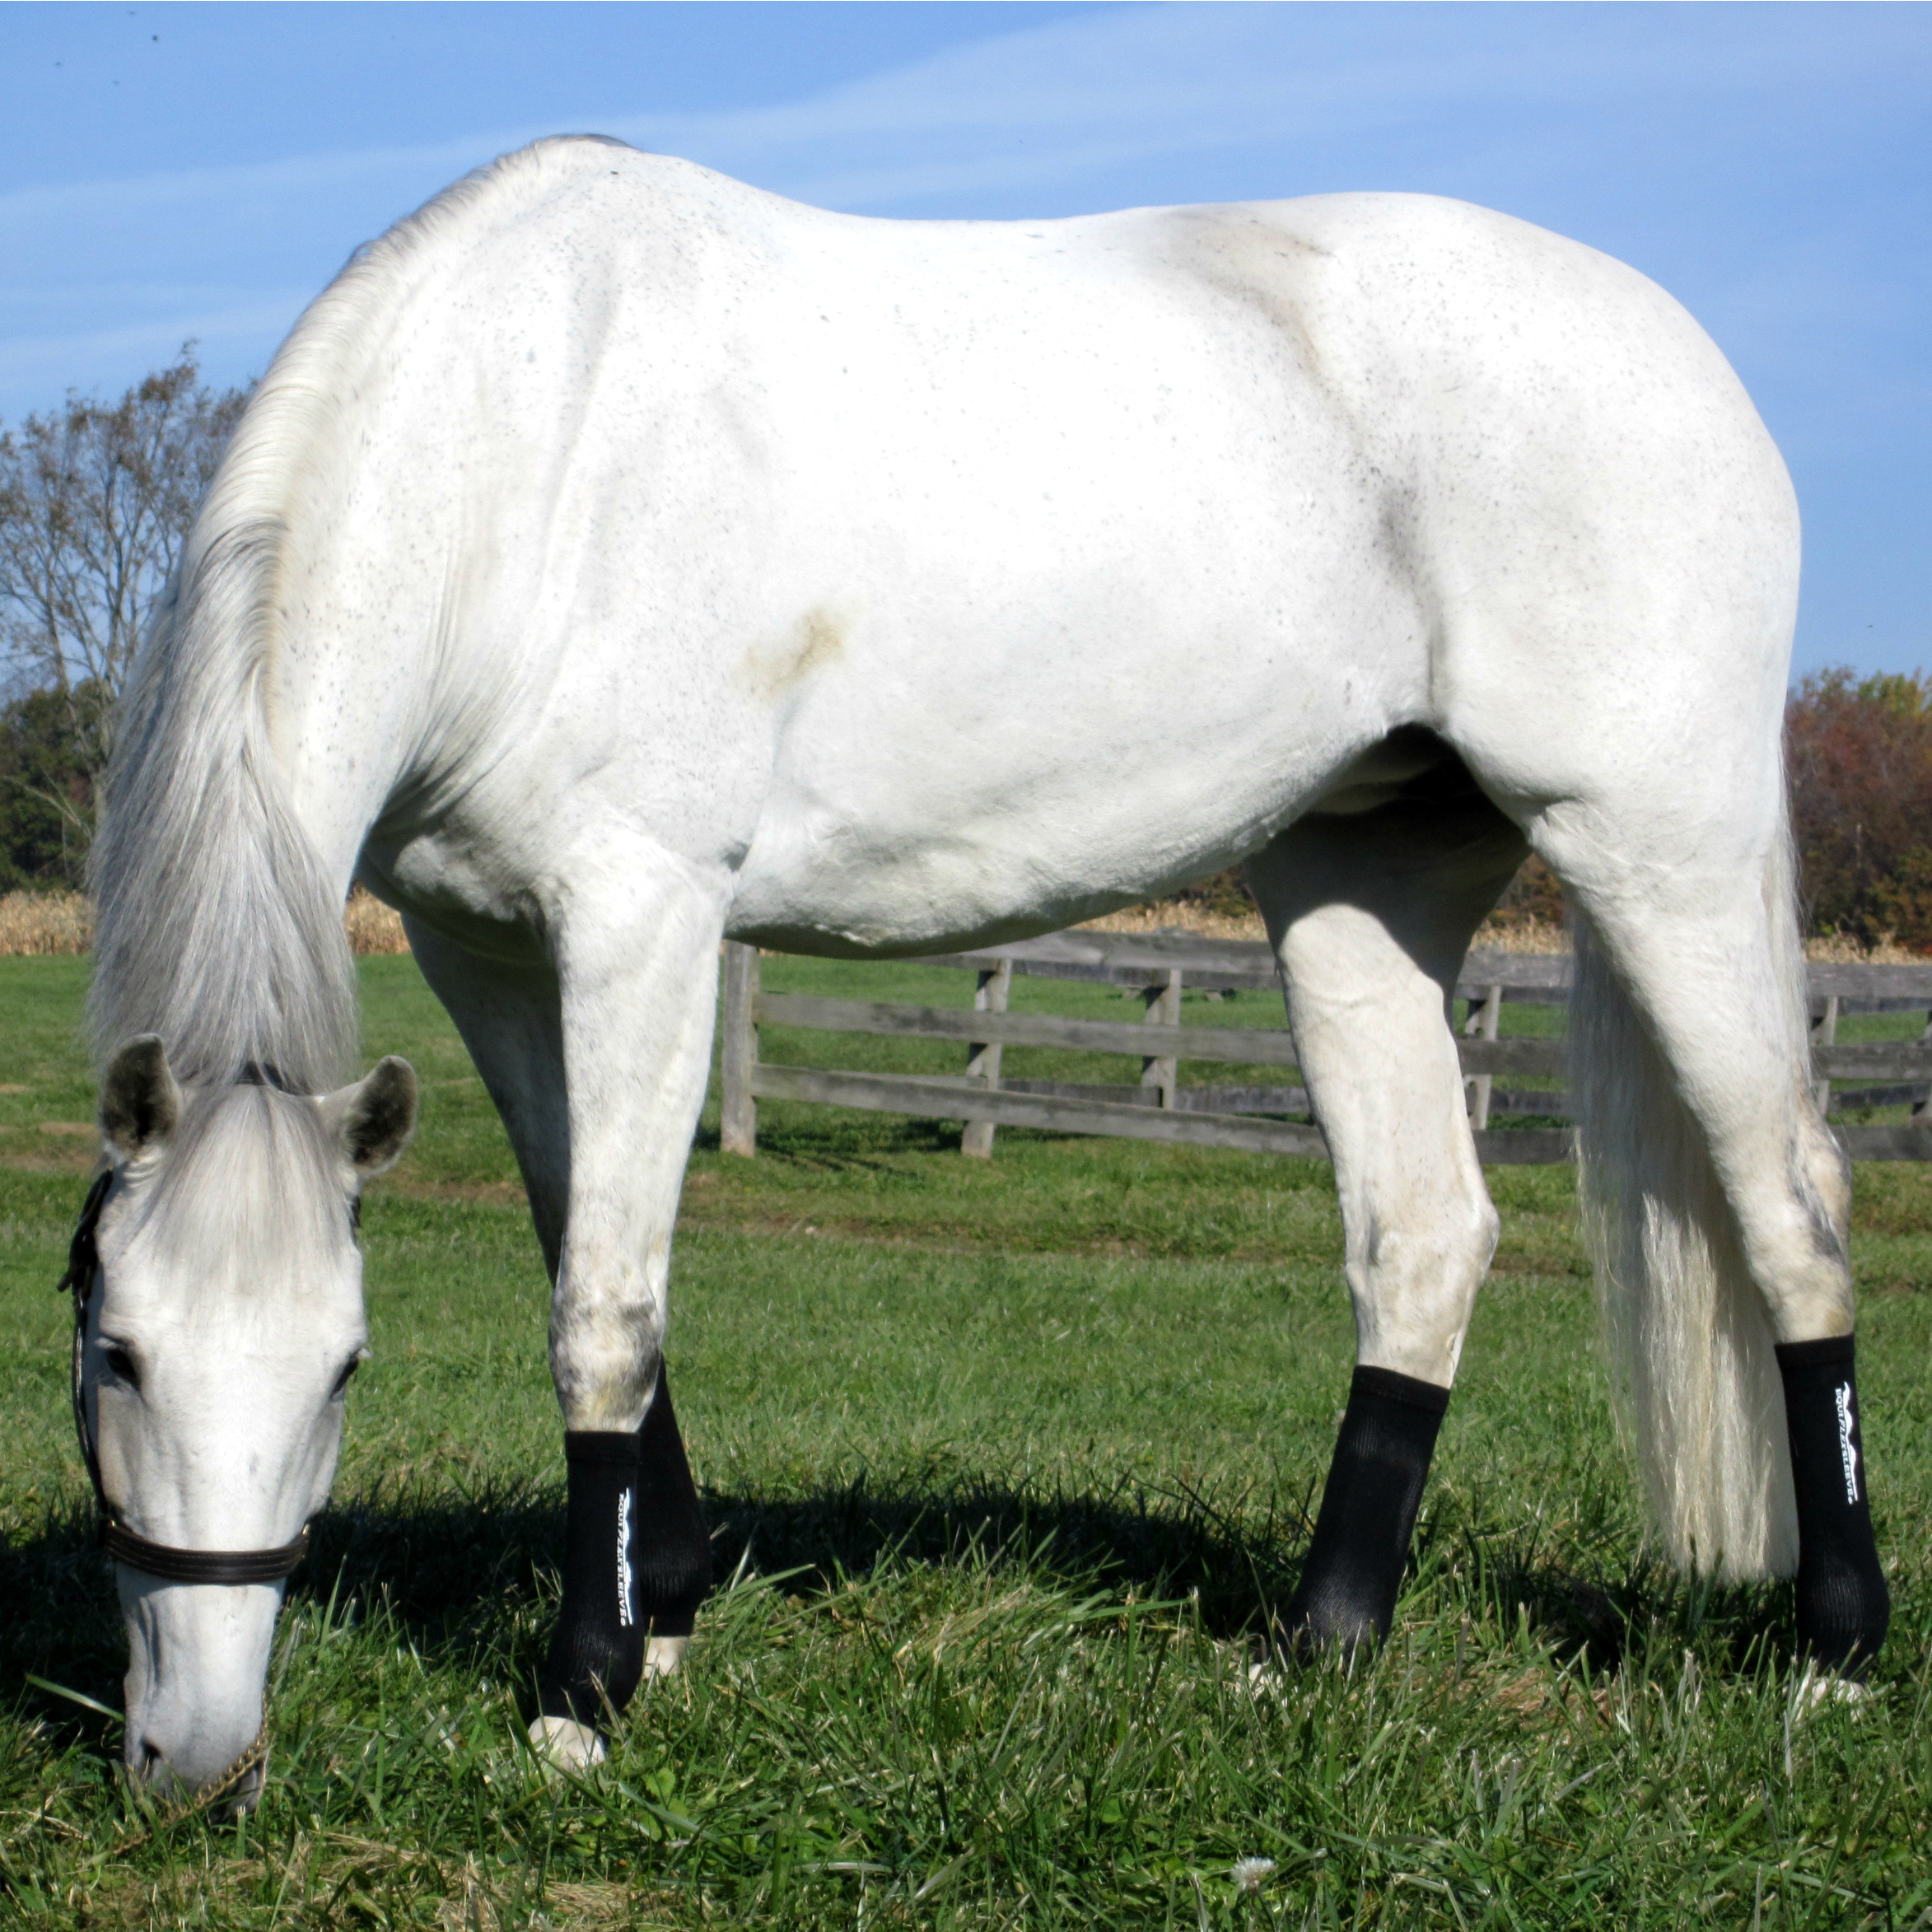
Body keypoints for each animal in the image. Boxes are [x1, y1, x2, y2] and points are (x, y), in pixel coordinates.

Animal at [72, 136, 1885, 1801]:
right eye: (115, 1349)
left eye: (344, 1367)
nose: (196, 1760)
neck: (532, 435)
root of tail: (1684, 356)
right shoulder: (483, 952)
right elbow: (574, 1247)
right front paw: (670, 1610)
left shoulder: (643, 917)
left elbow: (603, 1308)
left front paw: (587, 1689)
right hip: (1359, 891)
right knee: (1424, 1237)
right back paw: (1319, 1648)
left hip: (1658, 854)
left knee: (1791, 1217)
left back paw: (1838, 1657)